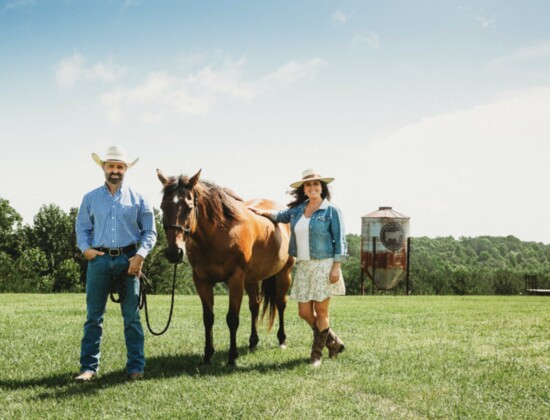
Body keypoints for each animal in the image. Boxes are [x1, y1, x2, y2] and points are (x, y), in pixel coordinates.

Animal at [157, 169, 296, 366]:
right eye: (163, 207)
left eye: (189, 207)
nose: (174, 252)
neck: (217, 235)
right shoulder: (202, 281)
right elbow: (208, 318)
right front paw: (207, 356)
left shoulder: (235, 280)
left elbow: (232, 319)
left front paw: (232, 357)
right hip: (252, 279)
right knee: (254, 306)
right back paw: (253, 342)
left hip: (284, 274)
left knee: (280, 304)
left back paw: (282, 340)